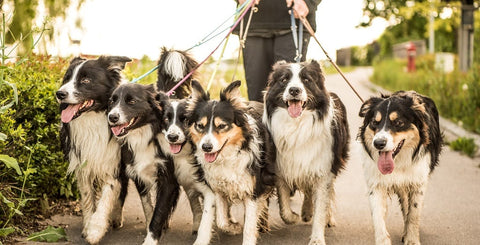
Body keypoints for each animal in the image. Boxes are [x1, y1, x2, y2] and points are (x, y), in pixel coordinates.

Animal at [56, 56, 131, 245]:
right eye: (67, 78)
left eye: (86, 80)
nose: (59, 94)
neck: (93, 118)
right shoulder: (83, 167)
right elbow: (88, 198)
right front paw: (88, 225)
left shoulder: (113, 166)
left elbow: (106, 198)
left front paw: (95, 230)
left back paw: (116, 218)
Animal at [107, 83, 180, 245]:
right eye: (112, 101)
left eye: (132, 101)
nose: (112, 117)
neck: (143, 135)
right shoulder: (138, 174)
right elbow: (147, 206)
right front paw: (149, 226)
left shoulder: (168, 180)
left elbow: (159, 212)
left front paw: (151, 239)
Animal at [188, 81, 278, 245]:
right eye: (200, 126)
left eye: (222, 126)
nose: (206, 147)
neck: (227, 156)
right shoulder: (217, 188)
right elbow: (221, 220)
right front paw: (233, 227)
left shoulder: (253, 190)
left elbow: (249, 226)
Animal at [262, 59, 348, 245]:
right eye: (284, 80)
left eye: (307, 80)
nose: (294, 90)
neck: (297, 125)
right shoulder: (281, 169)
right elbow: (284, 208)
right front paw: (293, 217)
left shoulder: (324, 171)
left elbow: (321, 206)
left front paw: (317, 238)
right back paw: (306, 212)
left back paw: (327, 217)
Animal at [356, 90, 442, 245]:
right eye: (374, 122)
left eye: (398, 123)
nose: (378, 143)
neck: (398, 162)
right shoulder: (376, 184)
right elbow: (378, 217)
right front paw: (383, 241)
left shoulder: (418, 182)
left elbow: (414, 213)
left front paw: (412, 239)